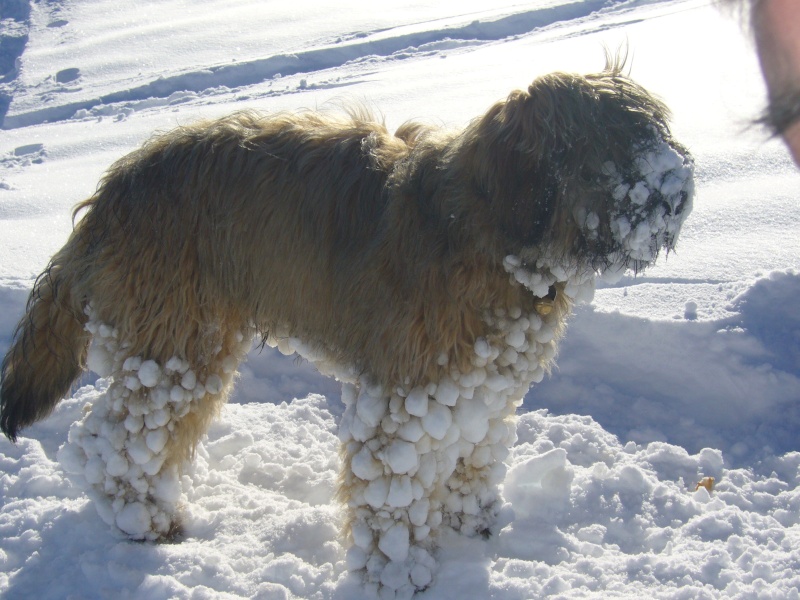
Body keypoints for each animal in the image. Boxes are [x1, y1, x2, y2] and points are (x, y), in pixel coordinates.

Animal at [0, 63, 692, 596]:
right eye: (610, 152)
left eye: (655, 132)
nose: (679, 185)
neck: (495, 235)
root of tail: (110, 191)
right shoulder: (406, 400)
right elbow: (393, 492)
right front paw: (399, 574)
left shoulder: (481, 391)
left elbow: (474, 456)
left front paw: (473, 521)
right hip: (177, 343)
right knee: (114, 438)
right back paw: (141, 519)